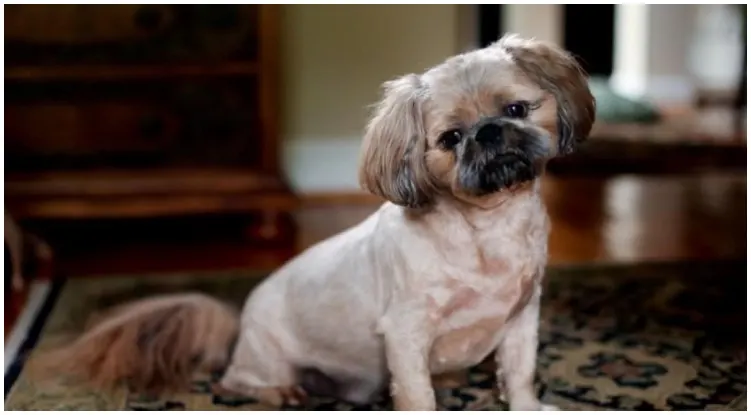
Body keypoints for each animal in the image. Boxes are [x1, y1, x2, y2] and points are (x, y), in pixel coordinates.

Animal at [35, 34, 596, 412]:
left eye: (517, 109)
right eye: (450, 139)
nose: (488, 133)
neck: (487, 227)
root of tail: (240, 327)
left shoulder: (521, 320)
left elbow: (519, 375)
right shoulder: (406, 333)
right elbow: (416, 395)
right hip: (266, 360)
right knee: (234, 382)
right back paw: (281, 391)